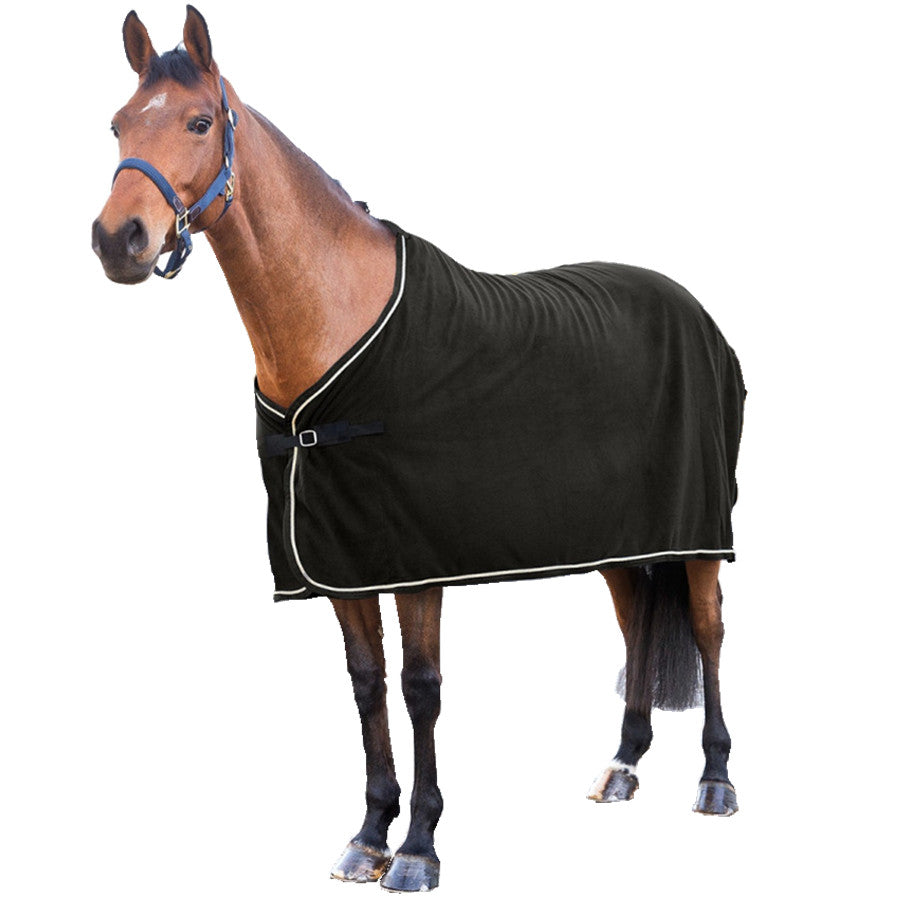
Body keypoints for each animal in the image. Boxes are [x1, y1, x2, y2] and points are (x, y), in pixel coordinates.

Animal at [92, 7, 744, 893]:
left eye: (197, 122)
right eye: (119, 124)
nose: (116, 240)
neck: (334, 326)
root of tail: (692, 308)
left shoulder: (415, 561)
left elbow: (419, 688)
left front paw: (419, 848)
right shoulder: (338, 564)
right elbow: (367, 686)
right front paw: (369, 833)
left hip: (702, 532)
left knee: (708, 630)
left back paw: (715, 779)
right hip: (619, 541)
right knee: (636, 617)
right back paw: (622, 765)